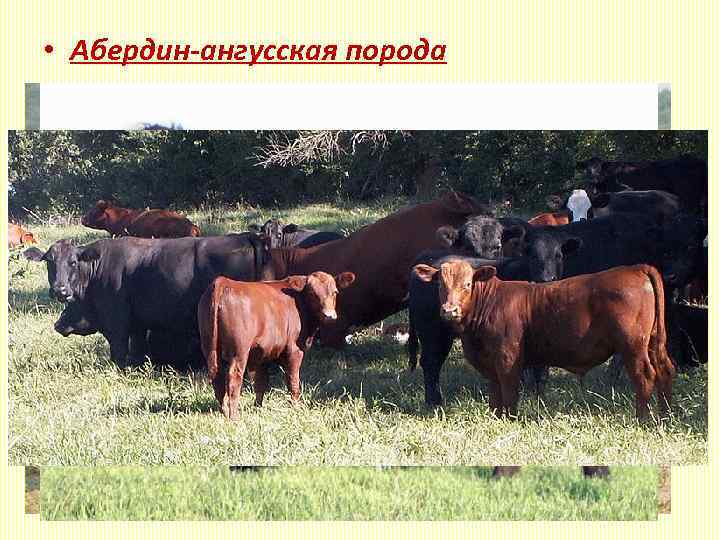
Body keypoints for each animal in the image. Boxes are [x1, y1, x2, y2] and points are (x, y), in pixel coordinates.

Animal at [24, 233, 271, 369]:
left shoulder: (118, 324)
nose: (60, 290)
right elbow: (138, 351)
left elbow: (119, 353)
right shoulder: (139, 325)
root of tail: (246, 236)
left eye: (73, 262)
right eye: (49, 261)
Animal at [198, 271, 355, 420]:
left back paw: (224, 411)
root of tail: (223, 282)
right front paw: (295, 407)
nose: (329, 316)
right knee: (233, 377)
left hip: (209, 346)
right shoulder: (294, 350)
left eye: (335, 292)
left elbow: (260, 382)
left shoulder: (260, 353)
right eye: (312, 293)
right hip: (239, 350)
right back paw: (234, 416)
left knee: (216, 375)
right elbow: (293, 380)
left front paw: (258, 408)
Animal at [413, 260, 675, 420]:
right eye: (440, 285)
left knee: (645, 376)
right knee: (665, 370)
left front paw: (510, 420)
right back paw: (665, 416)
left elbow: (509, 393)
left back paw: (642, 419)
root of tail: (636, 268)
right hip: (653, 343)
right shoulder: (491, 365)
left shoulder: (508, 359)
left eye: (468, 284)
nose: (450, 310)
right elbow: (495, 397)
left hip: (633, 346)